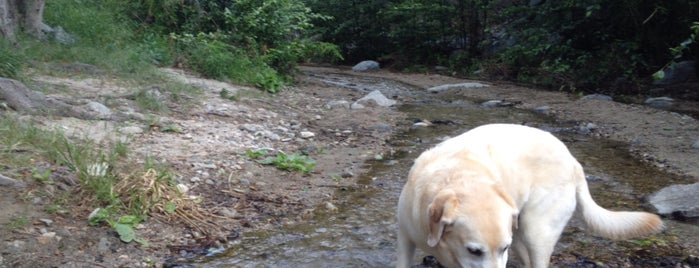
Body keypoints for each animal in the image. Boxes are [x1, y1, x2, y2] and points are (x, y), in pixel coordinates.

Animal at [396, 124, 664, 266]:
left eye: (502, 248)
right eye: (474, 251)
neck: (460, 179)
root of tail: (573, 162)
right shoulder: (406, 239)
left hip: (537, 231)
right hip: (519, 229)